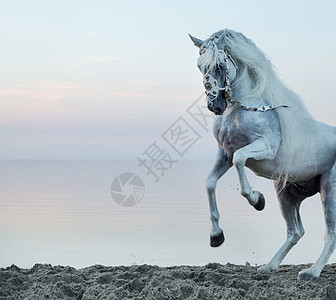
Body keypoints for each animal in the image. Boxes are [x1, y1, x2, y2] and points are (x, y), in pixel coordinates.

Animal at [189, 29, 336, 280]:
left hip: (329, 189)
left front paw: (256, 200)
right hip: (287, 194)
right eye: (200, 66)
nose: (215, 106)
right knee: (295, 231)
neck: (240, 108)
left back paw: (311, 272)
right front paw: (216, 236)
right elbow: (209, 182)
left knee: (330, 233)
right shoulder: (224, 154)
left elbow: (240, 160)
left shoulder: (264, 146)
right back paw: (269, 266)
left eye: (219, 65)